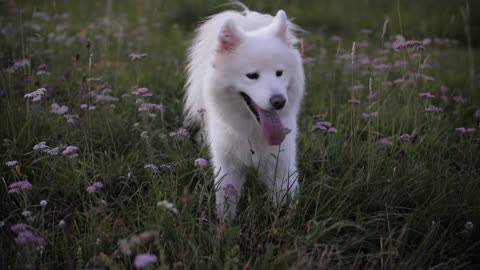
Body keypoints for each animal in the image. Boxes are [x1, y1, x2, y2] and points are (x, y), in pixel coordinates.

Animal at [184, 4, 304, 221]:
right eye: (252, 76)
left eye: (279, 73)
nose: (279, 101)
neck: (253, 132)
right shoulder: (227, 167)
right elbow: (226, 203)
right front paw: (225, 226)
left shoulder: (282, 165)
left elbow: (284, 202)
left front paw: (285, 219)